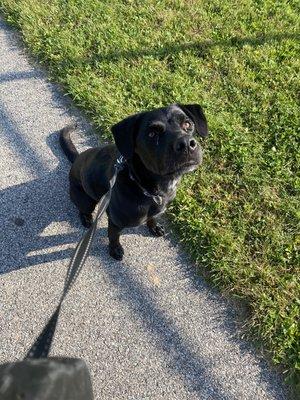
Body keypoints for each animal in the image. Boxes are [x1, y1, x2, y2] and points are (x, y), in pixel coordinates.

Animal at [59, 104, 207, 260]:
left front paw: (154, 227)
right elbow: (113, 237)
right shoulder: (115, 222)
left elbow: (152, 218)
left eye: (187, 124)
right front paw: (115, 250)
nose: (186, 144)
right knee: (83, 209)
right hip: (86, 200)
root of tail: (77, 159)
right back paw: (86, 219)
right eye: (152, 134)